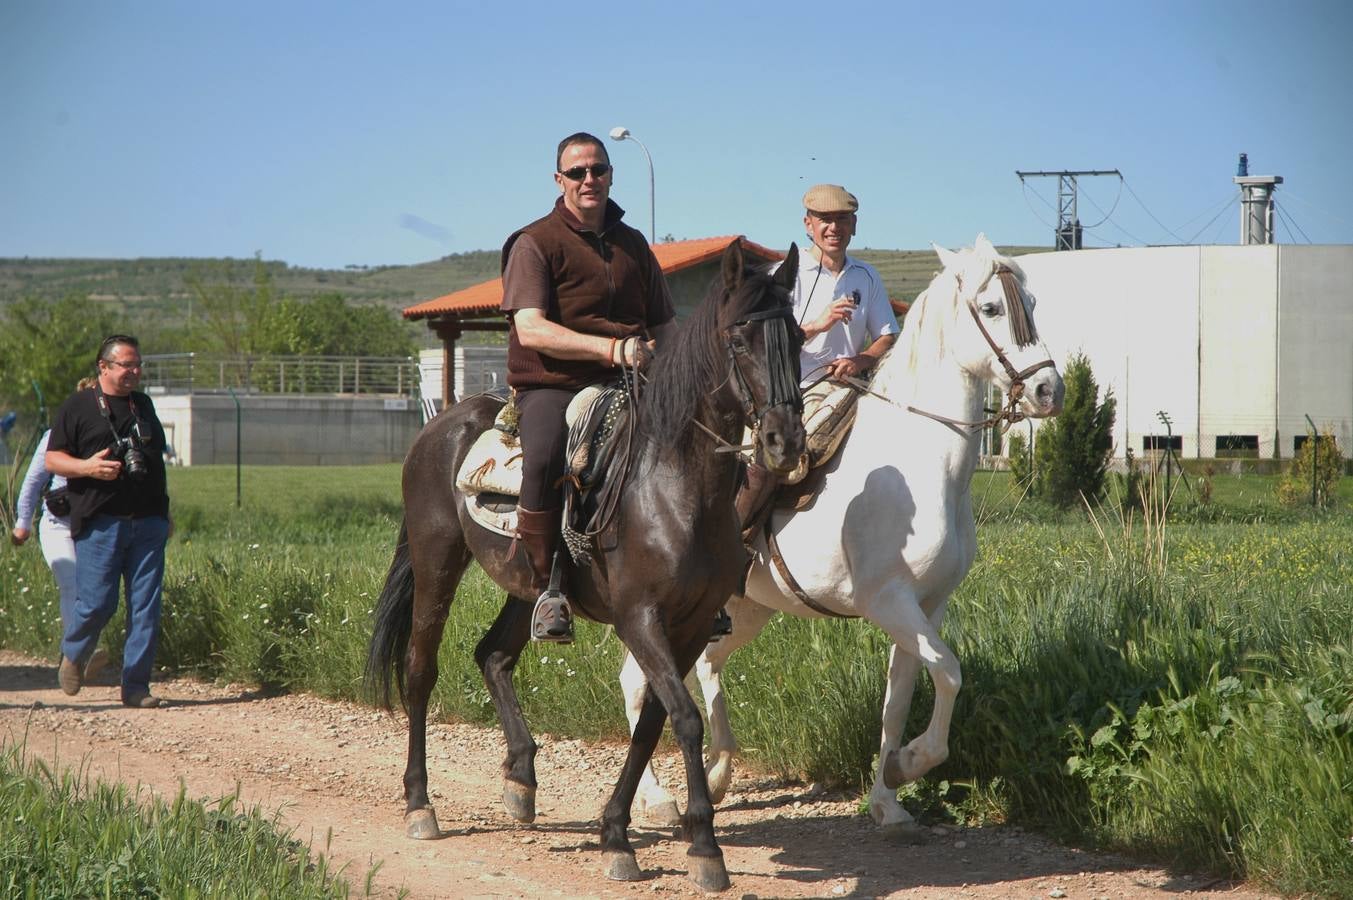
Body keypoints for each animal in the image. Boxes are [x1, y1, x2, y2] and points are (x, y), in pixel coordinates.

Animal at [368, 240, 800, 893]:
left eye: (797, 336)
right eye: (741, 340)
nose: (784, 442)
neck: (674, 483)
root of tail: (440, 425)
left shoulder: (694, 623)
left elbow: (654, 720)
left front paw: (616, 833)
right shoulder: (640, 618)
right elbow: (685, 719)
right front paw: (703, 846)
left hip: (528, 584)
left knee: (493, 654)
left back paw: (520, 780)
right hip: (436, 560)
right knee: (421, 668)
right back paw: (421, 805)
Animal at [616, 232, 1066, 828]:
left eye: (1033, 305)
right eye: (992, 308)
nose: (1049, 391)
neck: (923, 464)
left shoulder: (928, 607)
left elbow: (900, 700)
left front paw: (888, 799)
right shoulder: (888, 601)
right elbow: (950, 672)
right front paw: (909, 764)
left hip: (743, 609)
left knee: (705, 667)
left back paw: (719, 770)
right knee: (636, 680)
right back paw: (655, 796)